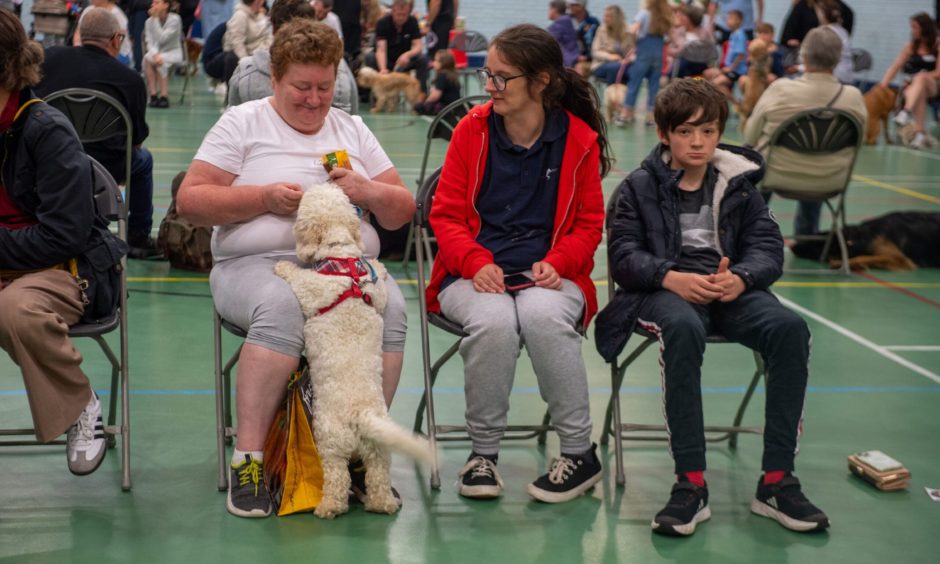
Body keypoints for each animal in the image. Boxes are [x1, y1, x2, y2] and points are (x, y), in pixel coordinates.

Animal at [274, 183, 432, 516]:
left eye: (306, 201)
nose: (308, 185)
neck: (341, 256)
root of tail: (362, 415)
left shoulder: (311, 289)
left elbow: (298, 276)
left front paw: (283, 265)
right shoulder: (378, 294)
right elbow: (380, 281)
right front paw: (382, 266)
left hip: (330, 443)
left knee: (337, 479)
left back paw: (328, 508)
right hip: (379, 451)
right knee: (378, 479)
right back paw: (382, 504)